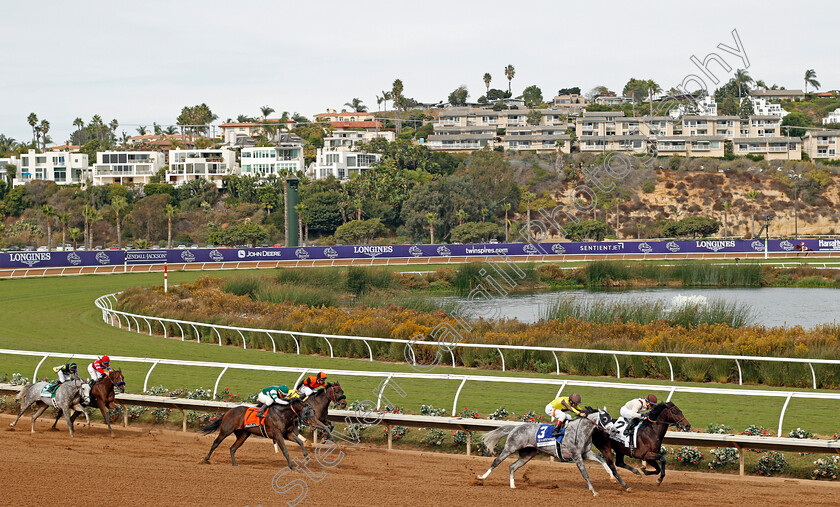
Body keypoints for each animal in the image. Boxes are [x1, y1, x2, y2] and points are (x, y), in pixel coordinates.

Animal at [199, 398, 328, 470]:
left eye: (313, 412)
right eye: (307, 413)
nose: (314, 424)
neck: (283, 414)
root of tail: (228, 411)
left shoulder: (287, 434)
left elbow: (300, 442)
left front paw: (306, 456)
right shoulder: (277, 435)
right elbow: (285, 451)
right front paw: (291, 466)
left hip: (243, 435)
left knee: (232, 448)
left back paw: (234, 464)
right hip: (226, 430)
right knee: (215, 443)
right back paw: (205, 459)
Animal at [480, 408, 632, 496]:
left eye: (611, 418)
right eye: (604, 419)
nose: (614, 431)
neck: (580, 430)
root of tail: (515, 428)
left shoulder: (585, 453)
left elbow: (601, 460)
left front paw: (611, 476)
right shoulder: (576, 455)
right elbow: (585, 473)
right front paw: (594, 491)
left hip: (528, 454)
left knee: (512, 466)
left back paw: (512, 485)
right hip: (510, 447)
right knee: (496, 461)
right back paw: (481, 478)